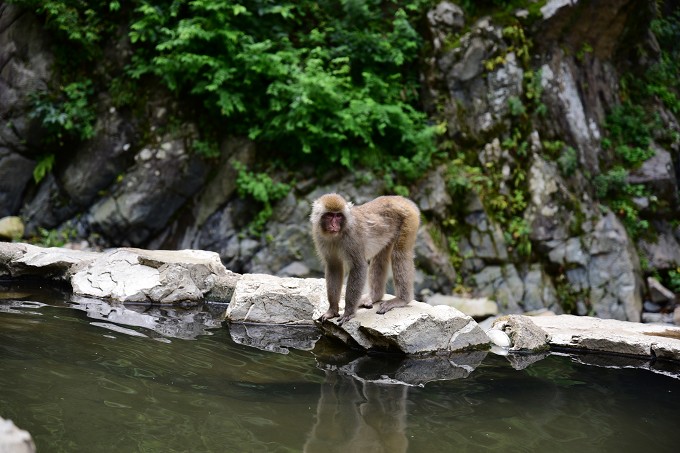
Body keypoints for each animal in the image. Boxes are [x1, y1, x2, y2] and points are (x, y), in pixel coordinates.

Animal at [310, 192, 418, 324]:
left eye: (338, 216)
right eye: (330, 215)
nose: (334, 225)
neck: (337, 235)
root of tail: (401, 199)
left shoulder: (352, 238)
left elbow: (359, 267)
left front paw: (349, 312)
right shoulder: (320, 236)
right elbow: (334, 266)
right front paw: (332, 310)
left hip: (409, 220)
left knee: (400, 254)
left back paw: (402, 300)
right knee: (380, 257)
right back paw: (374, 296)